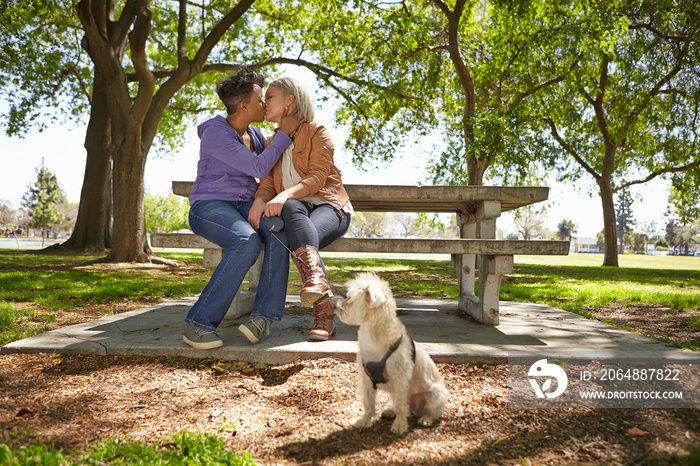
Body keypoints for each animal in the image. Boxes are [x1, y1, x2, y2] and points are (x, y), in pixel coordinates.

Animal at [336, 272, 452, 436]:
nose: (336, 305)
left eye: (349, 298)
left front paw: (400, 425)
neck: (373, 336)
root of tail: (417, 408)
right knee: (399, 405)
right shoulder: (367, 379)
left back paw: (426, 418)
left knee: (431, 411)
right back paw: (391, 411)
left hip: (435, 395)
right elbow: (368, 403)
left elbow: (401, 406)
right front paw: (365, 420)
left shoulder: (400, 380)